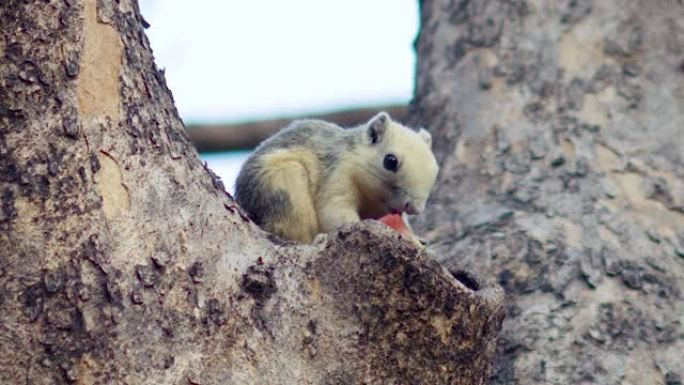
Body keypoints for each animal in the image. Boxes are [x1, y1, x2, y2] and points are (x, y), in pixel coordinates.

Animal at [234, 111, 438, 243]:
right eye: (390, 161)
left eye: (436, 169)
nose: (415, 208)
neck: (371, 198)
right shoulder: (337, 175)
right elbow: (333, 212)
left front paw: (416, 237)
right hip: (283, 187)